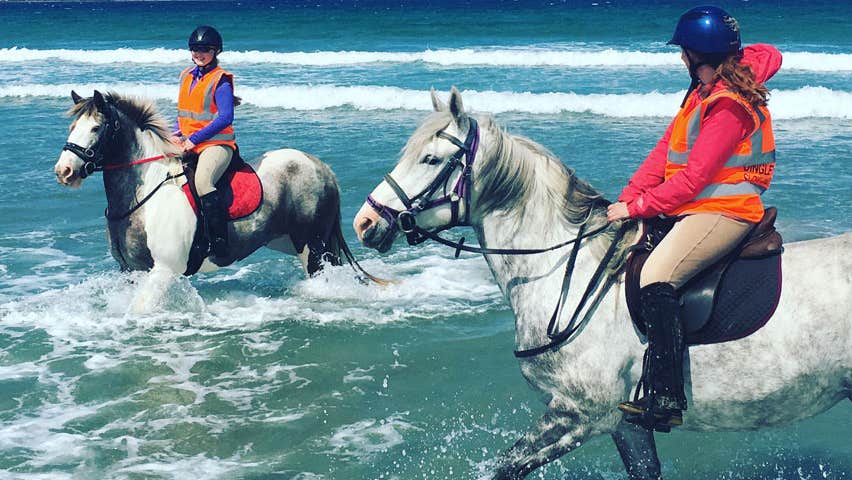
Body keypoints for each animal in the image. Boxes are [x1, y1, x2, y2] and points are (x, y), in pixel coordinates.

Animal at [54, 90, 369, 312]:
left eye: (96, 128)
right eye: (72, 126)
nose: (64, 171)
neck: (143, 198)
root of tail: (321, 167)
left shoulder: (163, 271)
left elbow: (139, 310)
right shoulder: (131, 272)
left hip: (313, 247)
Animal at [352, 87, 852, 479]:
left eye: (431, 158)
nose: (365, 223)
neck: (566, 273)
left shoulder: (580, 414)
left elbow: (504, 467)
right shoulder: (625, 425)